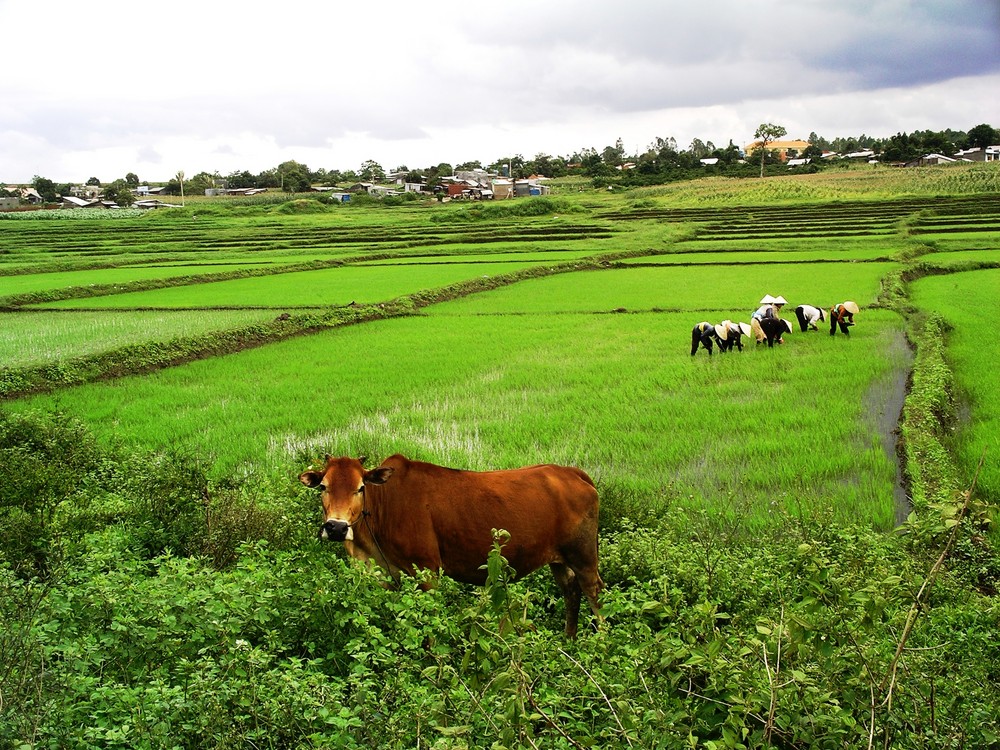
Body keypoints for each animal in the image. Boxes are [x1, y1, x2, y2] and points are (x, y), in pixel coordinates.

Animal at [298, 456, 600, 636]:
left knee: (594, 594)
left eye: (361, 487)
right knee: (571, 592)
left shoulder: (428, 570)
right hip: (558, 559)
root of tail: (571, 472)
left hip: (584, 556)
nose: (336, 527)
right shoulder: (386, 575)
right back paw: (568, 640)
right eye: (323, 486)